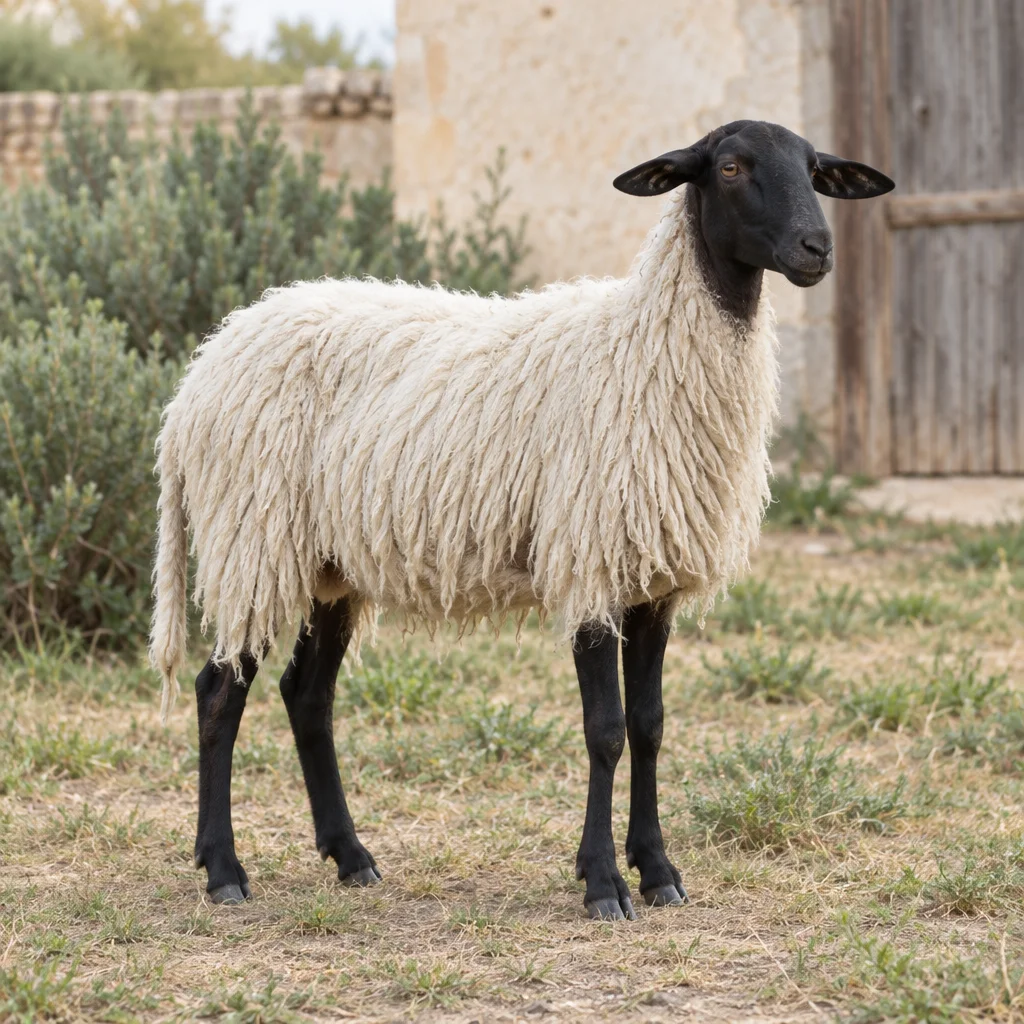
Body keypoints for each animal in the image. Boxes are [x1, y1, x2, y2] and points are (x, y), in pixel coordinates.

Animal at [151, 120, 893, 918]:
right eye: (729, 167)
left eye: (815, 169)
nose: (818, 248)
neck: (643, 345)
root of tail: (198, 374)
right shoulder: (590, 559)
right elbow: (605, 732)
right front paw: (603, 883)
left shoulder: (652, 582)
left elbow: (650, 727)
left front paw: (657, 870)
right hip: (251, 538)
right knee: (219, 693)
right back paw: (224, 870)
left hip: (330, 564)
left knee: (306, 696)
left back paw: (351, 857)